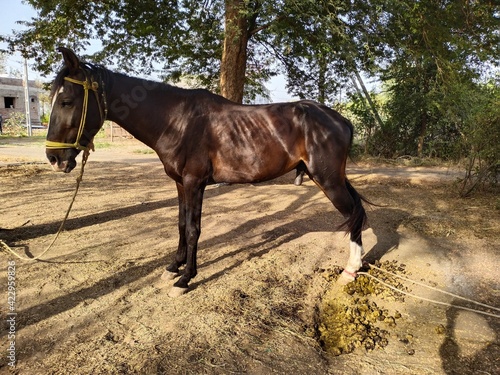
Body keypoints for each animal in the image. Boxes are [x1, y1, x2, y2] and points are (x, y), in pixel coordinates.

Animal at [46, 48, 368, 298]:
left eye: (66, 101)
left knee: (353, 214)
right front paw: (173, 267)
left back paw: (351, 270)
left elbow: (193, 229)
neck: (177, 120)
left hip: (328, 180)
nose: (54, 158)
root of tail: (340, 119)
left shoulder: (194, 183)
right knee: (357, 212)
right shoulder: (180, 184)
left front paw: (185, 278)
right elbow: (180, 224)